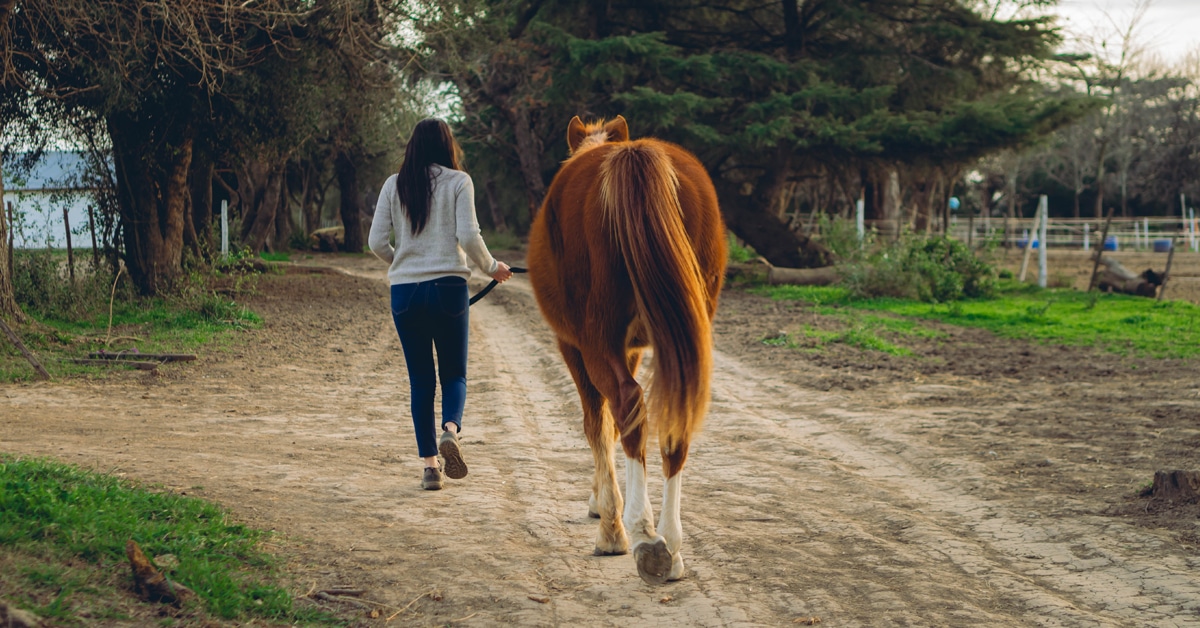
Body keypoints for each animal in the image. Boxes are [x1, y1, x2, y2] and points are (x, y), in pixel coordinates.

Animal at [527, 115, 727, 584]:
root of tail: (633, 157)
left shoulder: (575, 346)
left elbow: (597, 425)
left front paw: (608, 519)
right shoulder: (633, 348)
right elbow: (615, 427)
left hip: (595, 340)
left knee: (626, 402)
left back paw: (639, 534)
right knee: (670, 419)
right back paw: (670, 545)